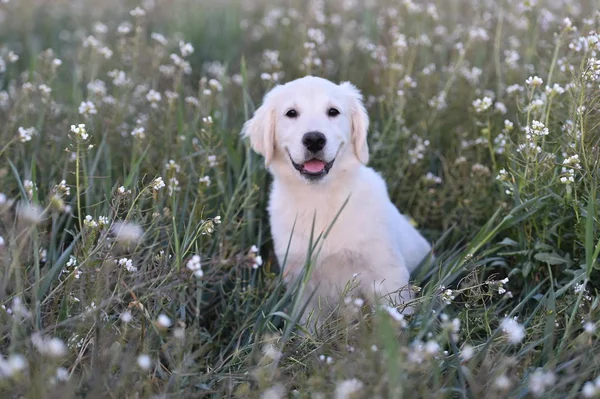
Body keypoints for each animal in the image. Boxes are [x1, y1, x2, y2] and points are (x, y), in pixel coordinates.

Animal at [241, 76, 434, 328]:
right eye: (291, 113)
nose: (314, 139)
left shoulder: (387, 272)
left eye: (333, 111)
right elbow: (311, 327)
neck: (320, 198)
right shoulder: (301, 283)